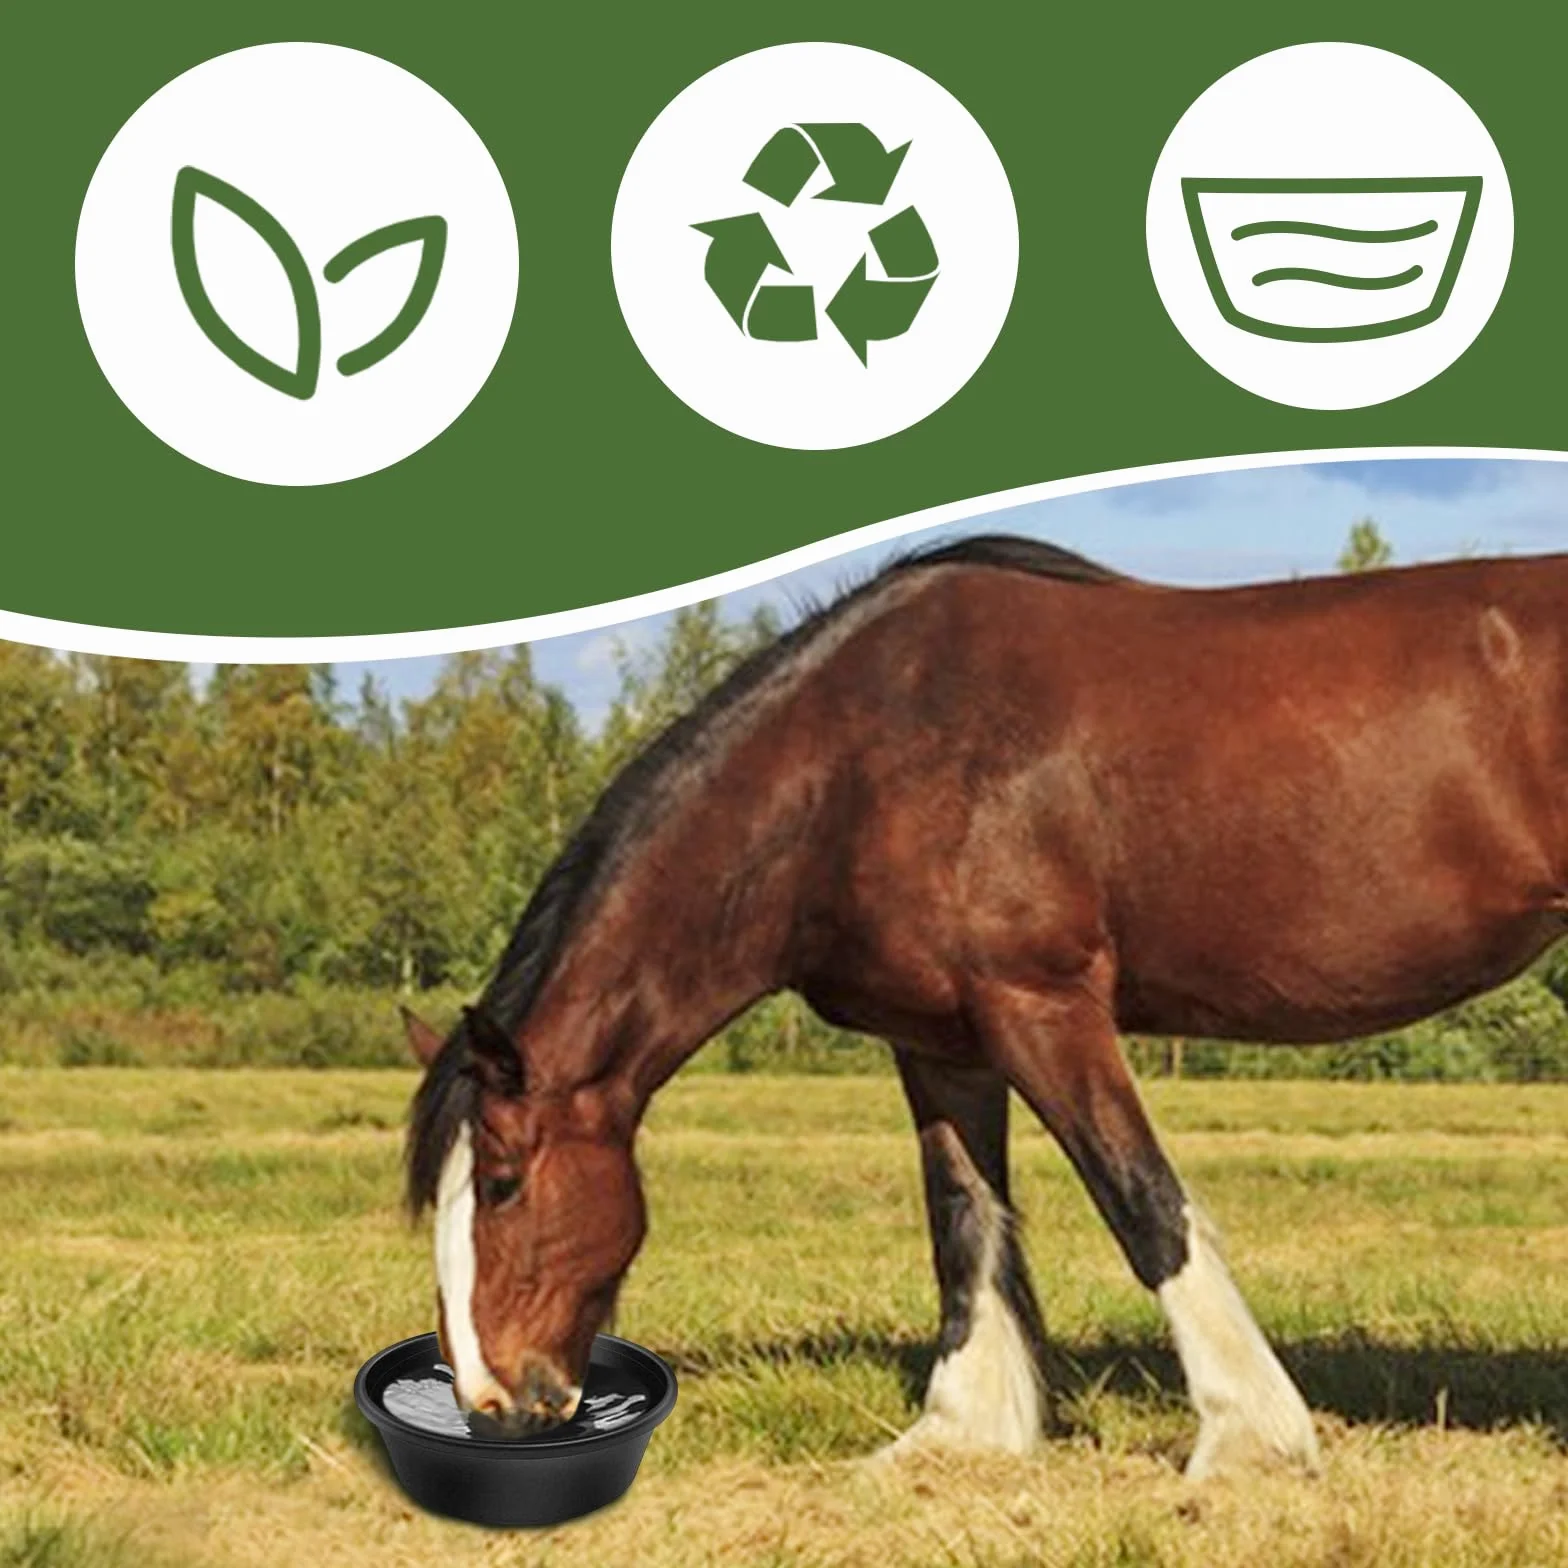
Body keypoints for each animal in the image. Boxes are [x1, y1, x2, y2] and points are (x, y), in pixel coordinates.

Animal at [402, 535, 1568, 1478]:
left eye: (500, 1183)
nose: (494, 1404)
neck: (854, 762)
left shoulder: (1041, 1005)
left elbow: (1143, 1203)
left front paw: (1249, 1435)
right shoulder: (941, 1041)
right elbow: (965, 1222)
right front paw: (960, 1429)